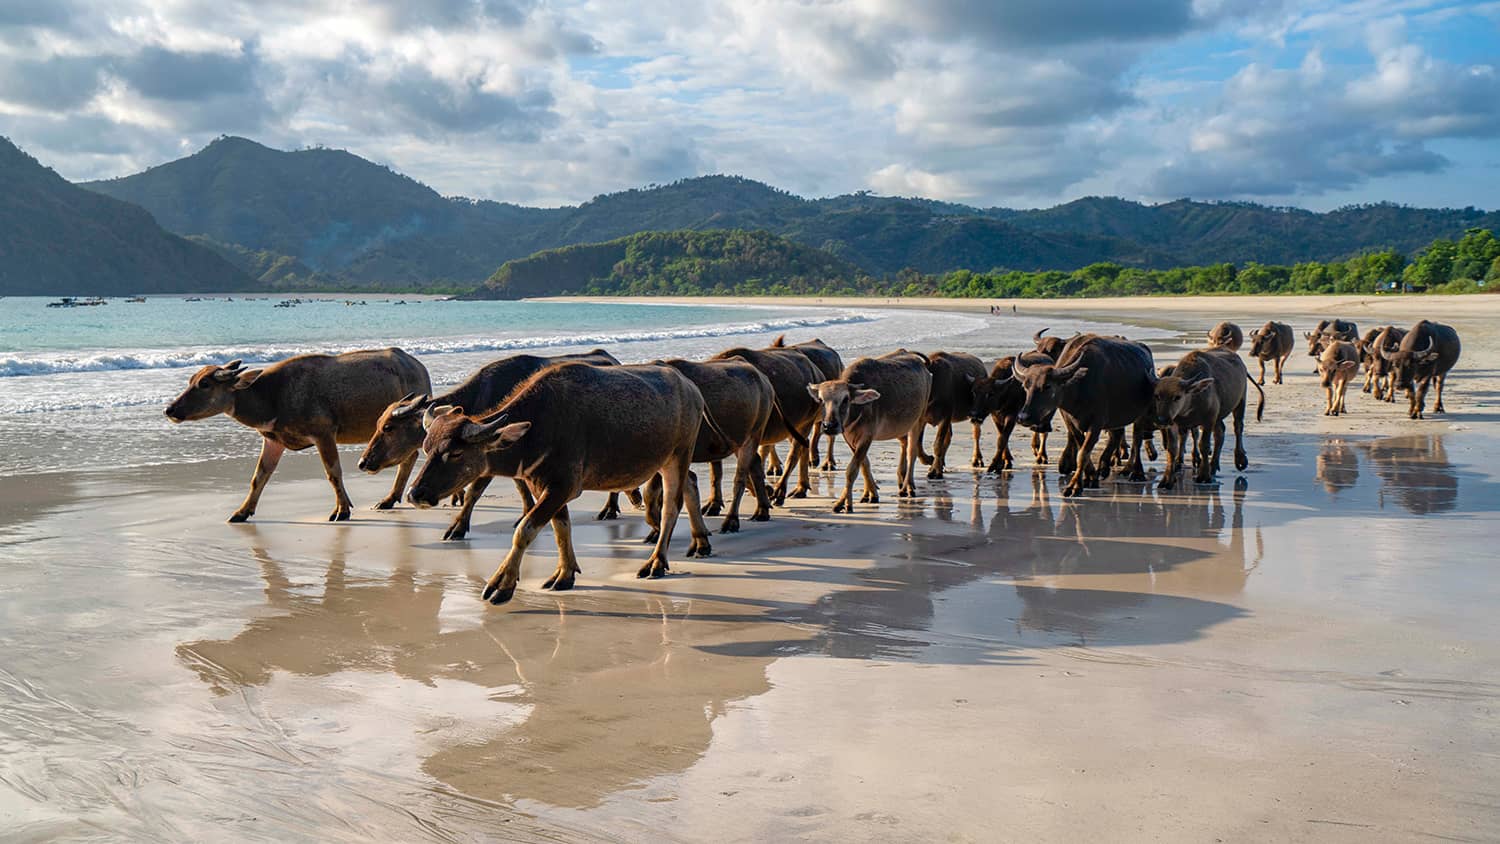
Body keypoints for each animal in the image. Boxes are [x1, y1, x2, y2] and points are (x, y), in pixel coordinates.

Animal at [166, 347, 432, 521]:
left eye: (205, 384)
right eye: (191, 380)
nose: (170, 410)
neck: (272, 397)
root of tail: (418, 367)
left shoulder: (324, 435)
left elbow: (333, 473)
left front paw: (342, 510)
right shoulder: (273, 441)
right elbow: (259, 477)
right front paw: (241, 512)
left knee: (409, 457)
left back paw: (388, 499)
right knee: (409, 457)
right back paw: (389, 499)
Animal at [804, 347, 930, 512]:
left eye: (845, 399)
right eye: (821, 400)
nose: (829, 426)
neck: (858, 411)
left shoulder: (866, 437)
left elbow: (852, 470)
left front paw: (843, 503)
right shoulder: (850, 438)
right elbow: (864, 465)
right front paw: (869, 493)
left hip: (918, 421)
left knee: (912, 452)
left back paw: (907, 486)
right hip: (901, 425)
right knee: (904, 444)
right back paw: (901, 478)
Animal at [1014, 334, 1152, 497]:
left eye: (1047, 386)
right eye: (1025, 386)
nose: (1023, 417)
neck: (1079, 389)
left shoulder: (1097, 422)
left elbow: (1083, 453)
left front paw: (1074, 486)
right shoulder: (1070, 421)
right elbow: (1081, 448)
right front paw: (1090, 477)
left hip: (1141, 414)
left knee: (1137, 439)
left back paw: (1136, 472)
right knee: (1116, 436)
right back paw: (1104, 467)